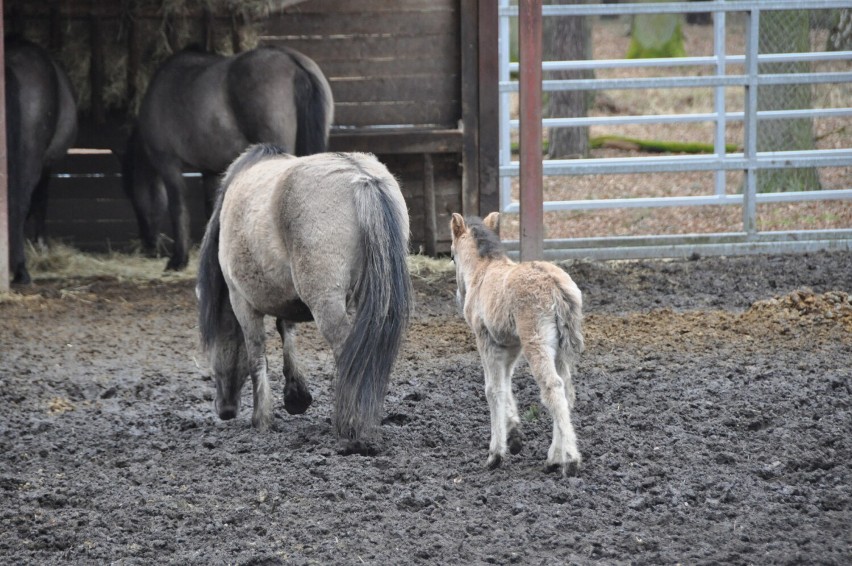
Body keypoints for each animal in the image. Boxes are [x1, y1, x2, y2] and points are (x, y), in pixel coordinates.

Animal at [125, 45, 334, 272]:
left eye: (133, 197)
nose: (147, 246)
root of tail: (292, 61)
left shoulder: (167, 164)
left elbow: (177, 208)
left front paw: (178, 259)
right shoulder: (210, 170)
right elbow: (212, 210)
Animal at [200, 146, 412, 458]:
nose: (224, 409)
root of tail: (362, 177)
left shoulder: (242, 302)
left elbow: (256, 354)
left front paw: (261, 419)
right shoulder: (286, 297)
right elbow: (286, 331)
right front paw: (296, 395)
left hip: (327, 304)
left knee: (348, 352)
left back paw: (352, 428)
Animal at [450, 212, 584, 474]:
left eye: (451, 257)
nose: (459, 297)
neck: (482, 272)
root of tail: (555, 283)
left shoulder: (486, 340)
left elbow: (493, 389)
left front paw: (495, 454)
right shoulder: (510, 344)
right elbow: (506, 382)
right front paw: (513, 436)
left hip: (537, 343)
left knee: (552, 386)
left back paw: (570, 460)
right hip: (559, 350)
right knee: (566, 390)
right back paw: (554, 458)